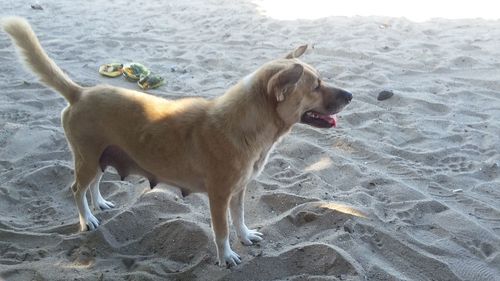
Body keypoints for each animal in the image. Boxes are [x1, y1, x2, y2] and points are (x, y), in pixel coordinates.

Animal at [2, 16, 352, 266]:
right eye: (316, 85)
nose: (351, 96)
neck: (247, 123)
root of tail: (80, 92)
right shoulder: (219, 197)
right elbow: (222, 231)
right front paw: (226, 257)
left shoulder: (239, 192)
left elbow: (239, 220)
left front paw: (246, 236)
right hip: (87, 159)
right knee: (76, 189)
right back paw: (86, 219)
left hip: (99, 157)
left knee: (93, 185)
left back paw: (98, 204)